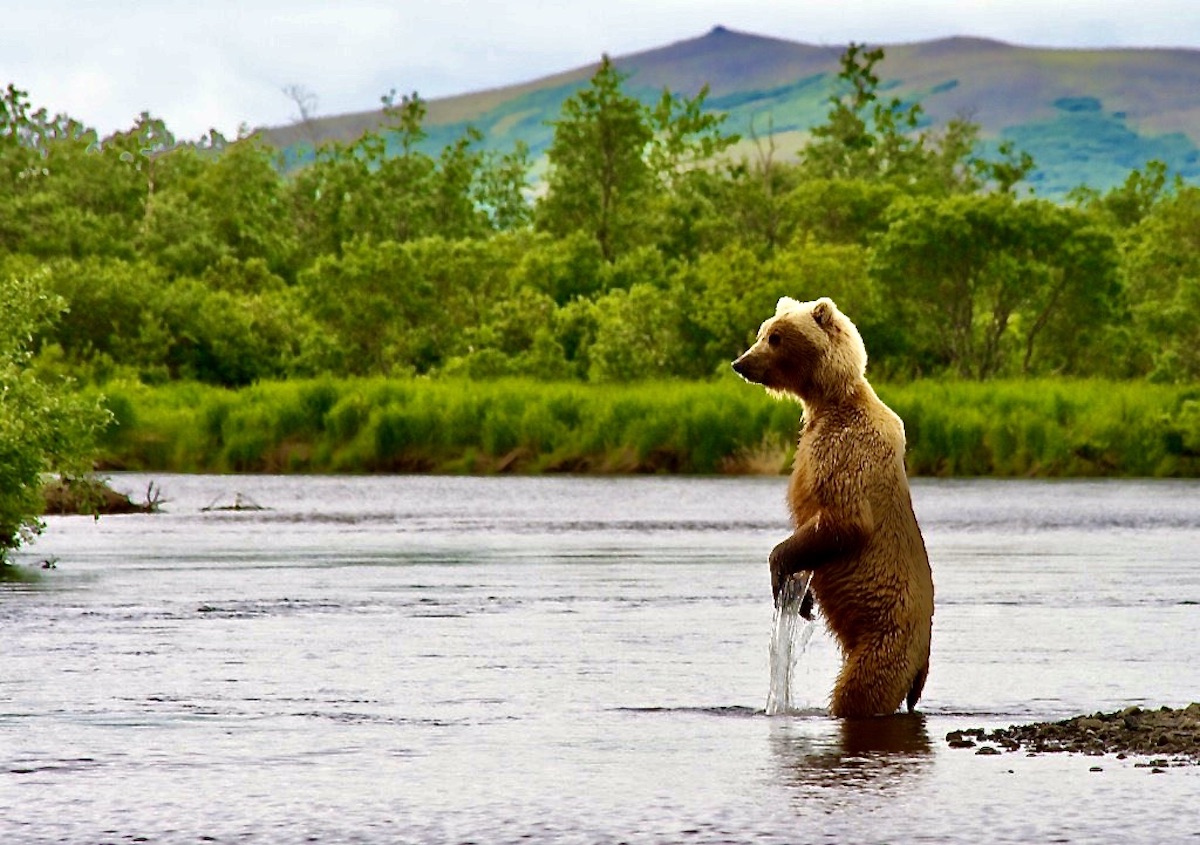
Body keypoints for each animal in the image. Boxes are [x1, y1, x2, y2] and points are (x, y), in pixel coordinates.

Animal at [729, 294, 936, 715]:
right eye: (763, 331)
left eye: (775, 337)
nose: (740, 363)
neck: (828, 401)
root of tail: (921, 660)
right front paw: (803, 599)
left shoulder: (845, 450)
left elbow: (845, 521)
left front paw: (780, 567)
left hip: (886, 641)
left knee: (861, 688)